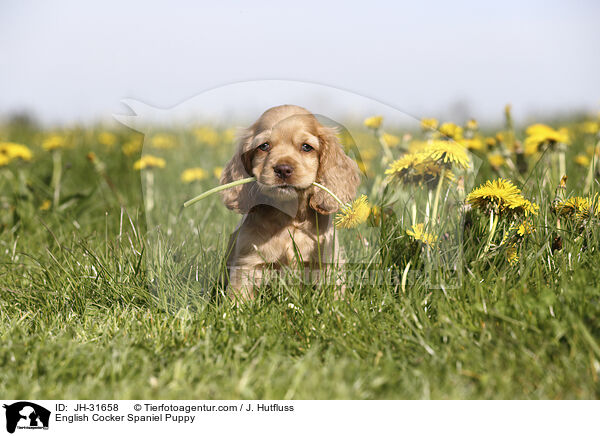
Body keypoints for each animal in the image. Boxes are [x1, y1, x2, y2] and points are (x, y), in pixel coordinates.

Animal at [220, 104, 360, 300]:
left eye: (306, 147)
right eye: (264, 146)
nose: (283, 169)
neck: (288, 218)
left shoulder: (327, 263)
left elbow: (333, 295)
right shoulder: (248, 265)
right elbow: (239, 298)